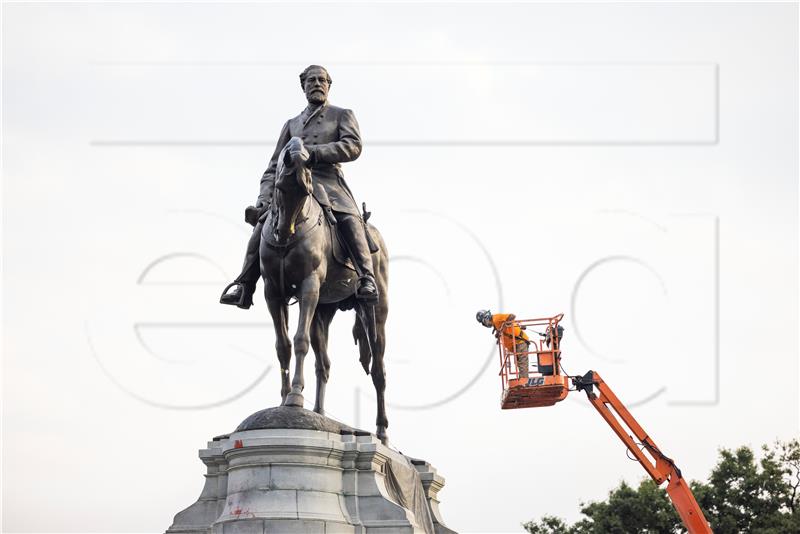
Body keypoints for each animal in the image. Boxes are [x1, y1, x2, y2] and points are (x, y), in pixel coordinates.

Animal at [260, 137, 390, 444]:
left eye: (306, 191)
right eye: (280, 188)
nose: (284, 233)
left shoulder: (309, 286)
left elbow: (299, 340)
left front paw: (295, 396)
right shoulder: (273, 293)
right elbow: (283, 346)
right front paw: (284, 399)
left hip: (375, 311)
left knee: (378, 370)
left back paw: (382, 433)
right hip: (323, 310)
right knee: (324, 364)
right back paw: (318, 413)